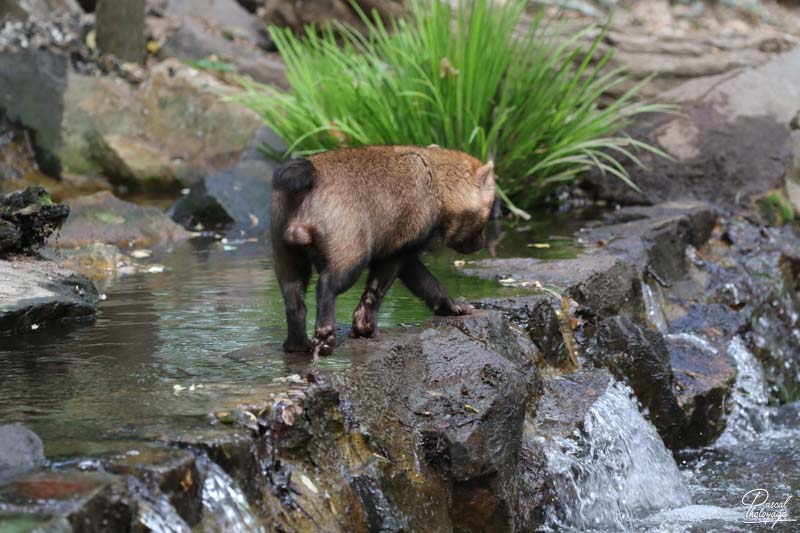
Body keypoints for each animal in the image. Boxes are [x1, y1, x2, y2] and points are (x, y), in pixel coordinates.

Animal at [272, 144, 496, 358]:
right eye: (490, 209)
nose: (481, 243)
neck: (437, 185)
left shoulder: (404, 252)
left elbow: (426, 284)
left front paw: (453, 306)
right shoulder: (397, 250)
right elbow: (382, 288)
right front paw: (365, 328)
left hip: (286, 255)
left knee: (294, 301)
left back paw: (297, 345)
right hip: (350, 253)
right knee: (326, 285)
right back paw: (325, 338)